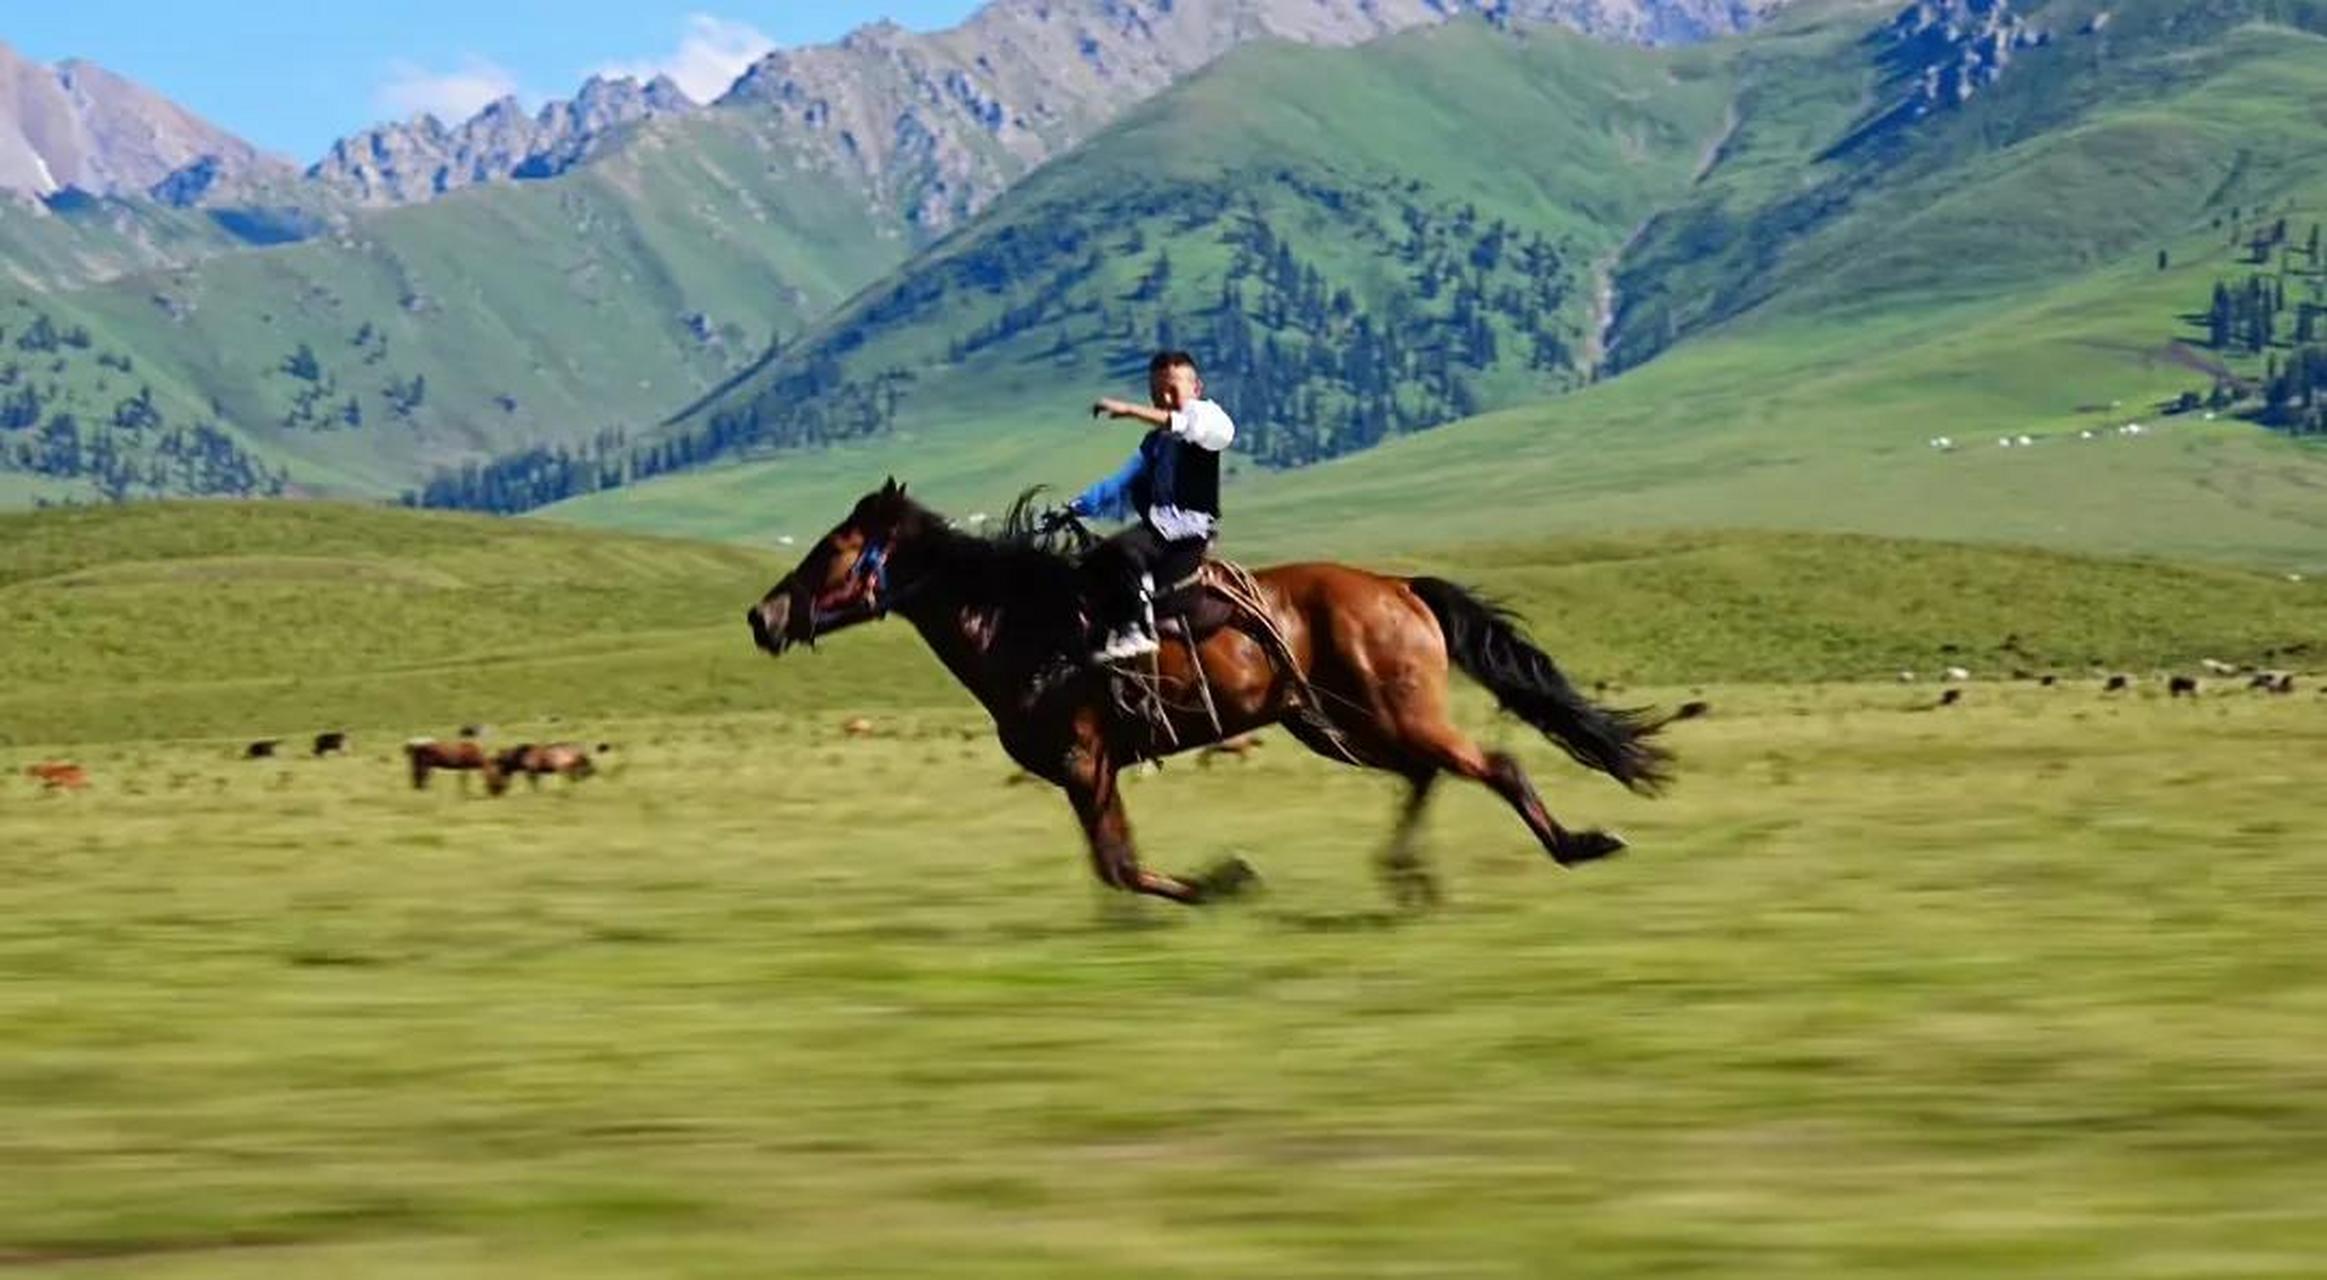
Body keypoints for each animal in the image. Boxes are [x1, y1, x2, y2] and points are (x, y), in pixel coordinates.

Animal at [749, 484, 1675, 912]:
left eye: (834, 552)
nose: (763, 617)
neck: (1022, 623)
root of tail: (1398, 587)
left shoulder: (1085, 761)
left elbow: (1120, 866)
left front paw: (1225, 880)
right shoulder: (1092, 770)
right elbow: (1115, 863)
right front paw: (1213, 883)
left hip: (1391, 716)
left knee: (1495, 764)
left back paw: (1580, 845)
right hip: (1337, 725)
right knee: (1431, 775)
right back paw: (1406, 875)